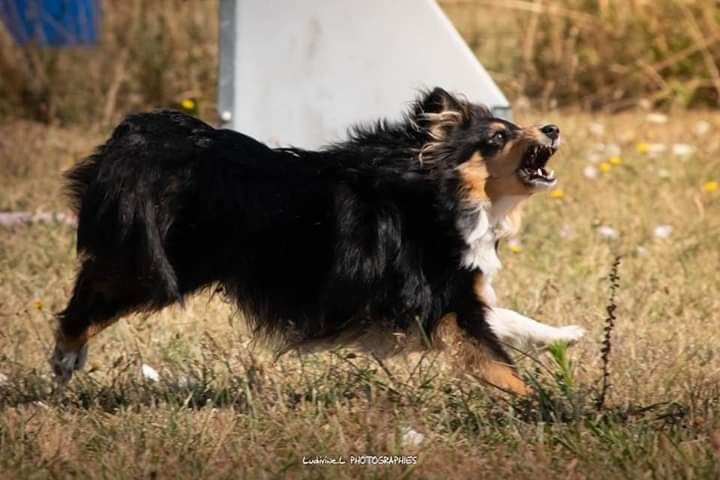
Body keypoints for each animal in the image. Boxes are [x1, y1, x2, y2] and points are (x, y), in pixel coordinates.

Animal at [53, 87, 584, 394]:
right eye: (497, 138)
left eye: (515, 127)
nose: (553, 127)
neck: (446, 194)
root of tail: (142, 136)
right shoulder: (444, 304)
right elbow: (501, 364)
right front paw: (550, 409)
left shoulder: (455, 302)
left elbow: (511, 322)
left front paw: (565, 336)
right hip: (165, 268)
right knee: (90, 295)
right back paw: (65, 357)